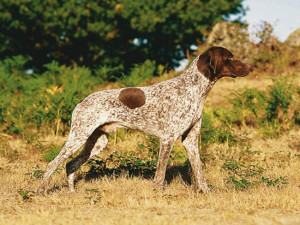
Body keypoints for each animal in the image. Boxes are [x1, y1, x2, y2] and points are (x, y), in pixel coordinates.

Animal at [37, 46, 253, 193]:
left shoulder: (191, 140)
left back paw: (72, 192)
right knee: (52, 164)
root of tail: (81, 101)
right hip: (78, 137)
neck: (194, 88)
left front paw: (205, 192)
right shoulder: (167, 139)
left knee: (70, 164)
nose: (251, 66)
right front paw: (158, 193)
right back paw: (41, 191)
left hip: (96, 142)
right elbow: (160, 173)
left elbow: (199, 171)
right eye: (230, 57)